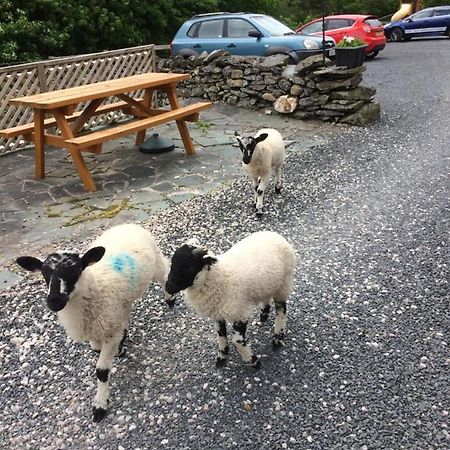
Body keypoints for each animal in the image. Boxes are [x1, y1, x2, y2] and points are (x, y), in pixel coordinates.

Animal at [15, 223, 169, 424]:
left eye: (76, 271)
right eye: (44, 274)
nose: (54, 302)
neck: (96, 288)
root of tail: (127, 225)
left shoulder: (110, 330)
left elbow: (102, 371)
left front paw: (100, 405)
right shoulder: (100, 327)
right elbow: (96, 348)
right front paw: (120, 349)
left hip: (156, 262)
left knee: (165, 274)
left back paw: (170, 298)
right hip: (124, 300)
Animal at [165, 230, 296, 368]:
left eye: (189, 267)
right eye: (172, 263)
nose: (168, 287)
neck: (219, 276)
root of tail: (274, 234)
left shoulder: (241, 313)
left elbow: (237, 341)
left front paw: (254, 361)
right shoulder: (217, 313)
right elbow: (221, 335)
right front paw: (222, 357)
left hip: (283, 284)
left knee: (281, 310)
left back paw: (277, 337)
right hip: (267, 285)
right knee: (266, 298)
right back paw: (263, 315)